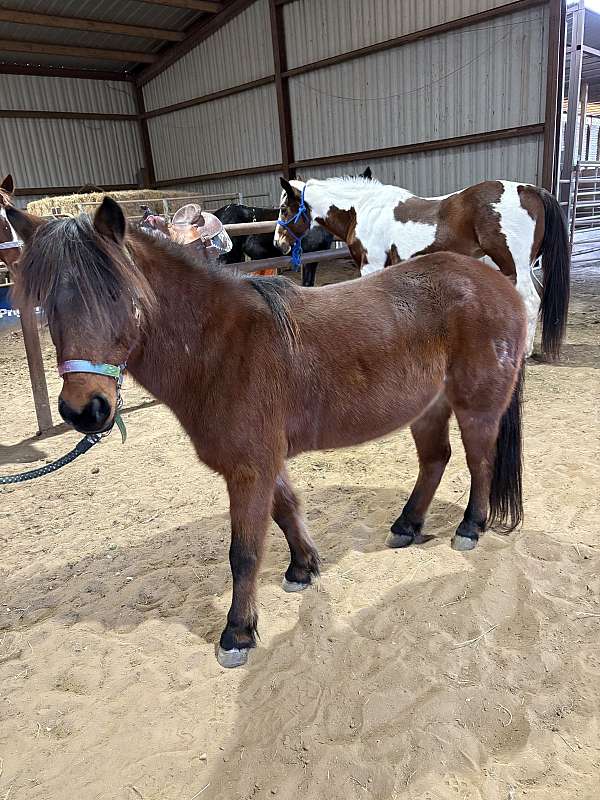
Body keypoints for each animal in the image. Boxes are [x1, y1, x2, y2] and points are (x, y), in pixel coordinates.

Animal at [7, 197, 526, 668]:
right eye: (48, 306)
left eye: (118, 296)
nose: (84, 410)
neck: (220, 347)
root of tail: (498, 283)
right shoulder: (261, 462)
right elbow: (286, 509)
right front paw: (303, 569)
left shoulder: (248, 468)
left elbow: (244, 552)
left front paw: (238, 633)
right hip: (429, 407)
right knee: (435, 459)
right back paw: (407, 526)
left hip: (475, 406)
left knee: (479, 461)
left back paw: (470, 527)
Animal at [274, 175, 570, 359]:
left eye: (284, 209)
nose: (279, 242)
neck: (361, 209)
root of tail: (528, 189)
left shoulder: (371, 266)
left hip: (514, 265)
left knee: (530, 301)